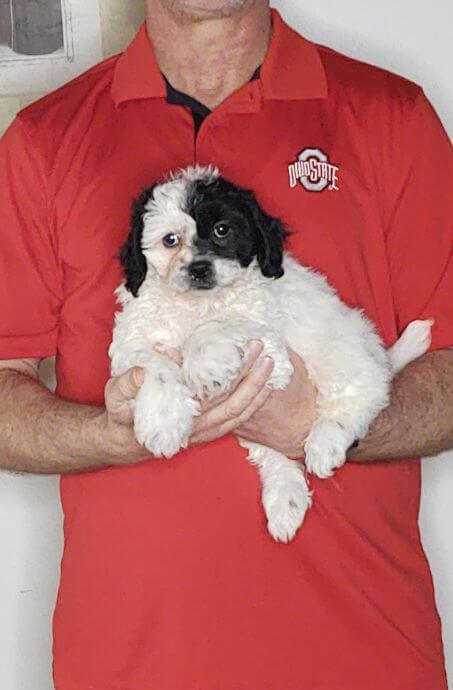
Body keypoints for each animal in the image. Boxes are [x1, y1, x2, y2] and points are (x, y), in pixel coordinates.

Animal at [109, 167, 430, 544]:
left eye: (222, 229)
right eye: (169, 240)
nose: (200, 268)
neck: (197, 304)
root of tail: (378, 354)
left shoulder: (268, 341)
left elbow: (216, 326)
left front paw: (206, 366)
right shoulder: (131, 339)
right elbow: (154, 366)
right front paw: (163, 422)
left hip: (339, 352)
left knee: (362, 393)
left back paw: (326, 443)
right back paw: (285, 501)